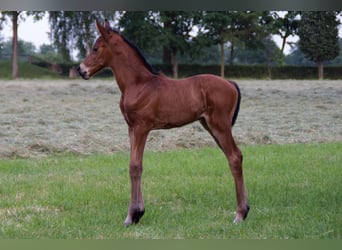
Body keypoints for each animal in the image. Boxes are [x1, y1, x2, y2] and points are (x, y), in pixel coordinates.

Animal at [77, 20, 248, 227]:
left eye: (95, 48)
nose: (81, 70)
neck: (138, 84)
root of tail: (230, 83)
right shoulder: (131, 128)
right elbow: (136, 165)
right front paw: (138, 213)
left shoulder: (142, 127)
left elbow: (135, 166)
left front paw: (130, 216)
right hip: (210, 126)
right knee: (234, 156)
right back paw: (244, 211)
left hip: (220, 125)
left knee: (234, 157)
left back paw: (240, 214)